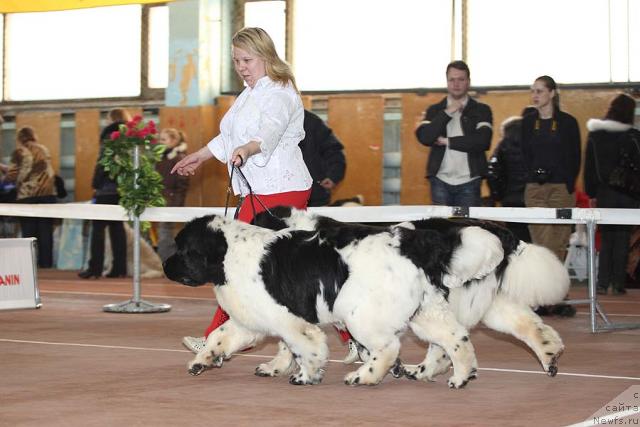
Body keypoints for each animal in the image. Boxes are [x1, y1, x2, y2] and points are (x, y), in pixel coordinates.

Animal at [162, 214, 492, 388]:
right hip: (424, 311)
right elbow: (220, 336)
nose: (165, 265)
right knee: (456, 338)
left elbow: (305, 346)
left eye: (183, 250)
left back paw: (363, 376)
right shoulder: (251, 317)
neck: (228, 253)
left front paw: (306, 375)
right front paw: (202, 361)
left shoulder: (288, 318)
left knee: (387, 347)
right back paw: (462, 376)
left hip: (362, 316)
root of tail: (412, 242)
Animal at [252, 207, 568, 382]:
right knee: (523, 325)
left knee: (447, 340)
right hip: (483, 302)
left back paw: (425, 371)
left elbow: (288, 339)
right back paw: (549, 356)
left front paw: (276, 366)